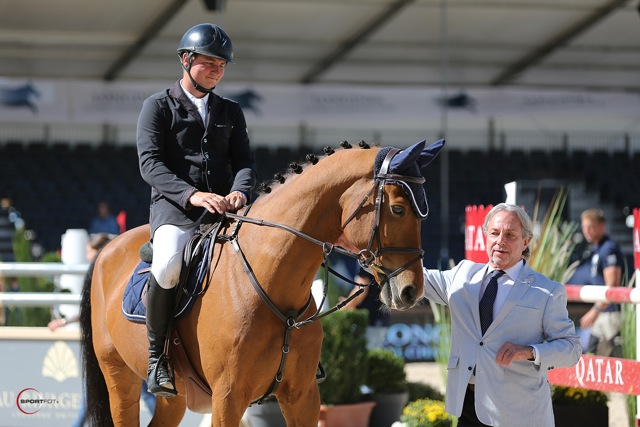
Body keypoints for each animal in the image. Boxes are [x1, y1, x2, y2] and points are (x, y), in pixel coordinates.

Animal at [80, 139, 444, 426]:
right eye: (398, 209)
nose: (411, 291)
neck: (272, 285)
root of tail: (108, 248)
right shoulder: (228, 397)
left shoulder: (302, 395)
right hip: (120, 378)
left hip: (176, 396)